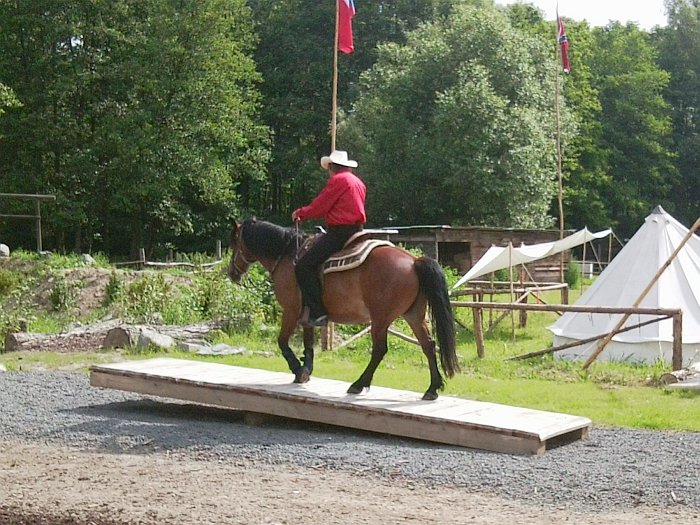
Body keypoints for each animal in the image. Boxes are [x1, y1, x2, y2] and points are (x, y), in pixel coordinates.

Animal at [227, 219, 462, 400]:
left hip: (380, 319)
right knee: (429, 345)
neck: (287, 255)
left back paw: (358, 384)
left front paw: (297, 369)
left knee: (380, 350)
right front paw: (305, 370)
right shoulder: (306, 315)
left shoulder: (291, 310)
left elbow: (283, 341)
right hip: (414, 315)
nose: (232, 273)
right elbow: (308, 343)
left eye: (235, 242)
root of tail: (414, 261)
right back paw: (432, 388)